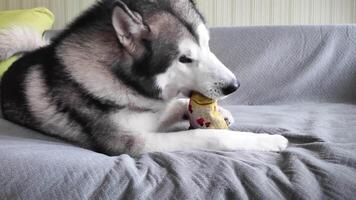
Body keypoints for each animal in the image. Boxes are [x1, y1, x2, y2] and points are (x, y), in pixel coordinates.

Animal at [0, 0, 290, 155]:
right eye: (185, 59)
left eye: (207, 44)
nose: (234, 86)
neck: (122, 81)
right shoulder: (135, 145)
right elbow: (209, 136)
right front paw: (268, 140)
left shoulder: (155, 114)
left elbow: (176, 105)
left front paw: (223, 114)